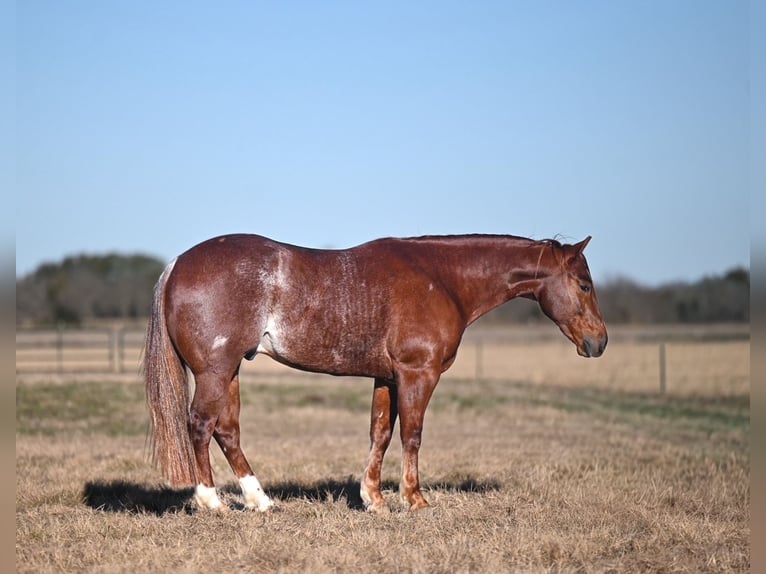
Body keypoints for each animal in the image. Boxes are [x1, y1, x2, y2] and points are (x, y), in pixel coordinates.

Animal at [144, 233, 608, 513]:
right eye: (584, 284)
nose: (599, 342)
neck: (440, 279)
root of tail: (177, 264)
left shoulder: (387, 378)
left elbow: (380, 432)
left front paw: (374, 498)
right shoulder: (418, 374)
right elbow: (411, 435)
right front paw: (414, 499)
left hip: (232, 370)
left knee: (227, 431)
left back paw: (261, 501)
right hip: (215, 371)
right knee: (200, 425)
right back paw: (211, 502)